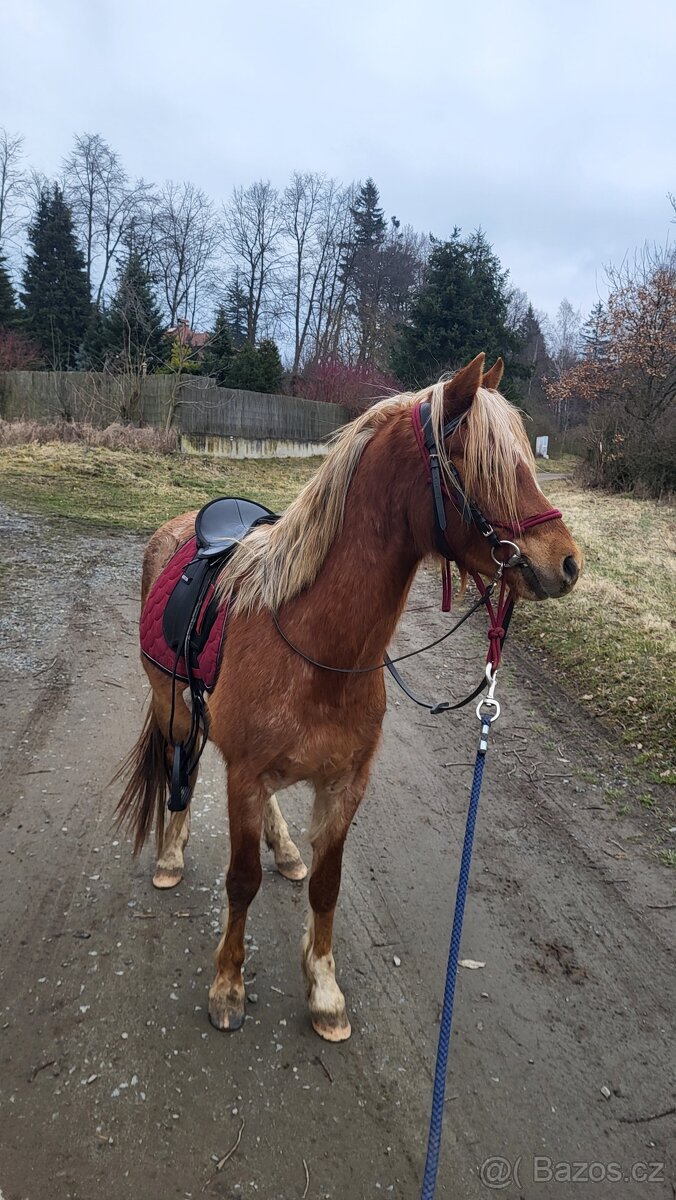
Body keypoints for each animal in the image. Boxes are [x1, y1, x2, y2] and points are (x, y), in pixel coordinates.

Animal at [116, 353, 582, 1042]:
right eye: (476, 462)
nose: (567, 563)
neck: (318, 649)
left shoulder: (344, 786)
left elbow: (327, 887)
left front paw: (325, 990)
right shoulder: (246, 775)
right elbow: (241, 881)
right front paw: (228, 985)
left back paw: (284, 848)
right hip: (174, 710)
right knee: (184, 768)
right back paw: (172, 854)